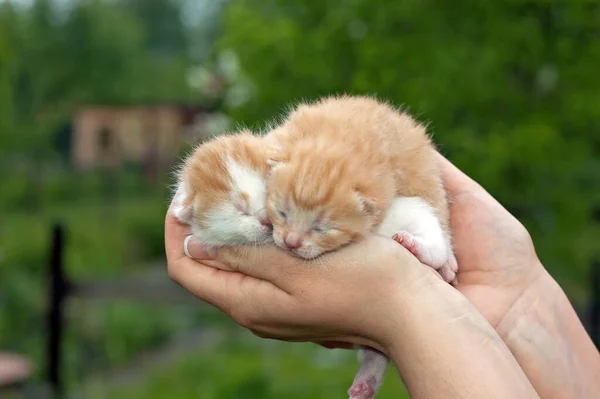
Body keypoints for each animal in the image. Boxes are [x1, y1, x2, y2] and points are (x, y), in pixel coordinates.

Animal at [264, 94, 458, 399]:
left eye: (322, 229)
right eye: (282, 212)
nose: (291, 242)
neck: (338, 141)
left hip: (415, 206)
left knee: (435, 237)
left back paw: (418, 248)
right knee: (375, 350)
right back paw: (366, 380)